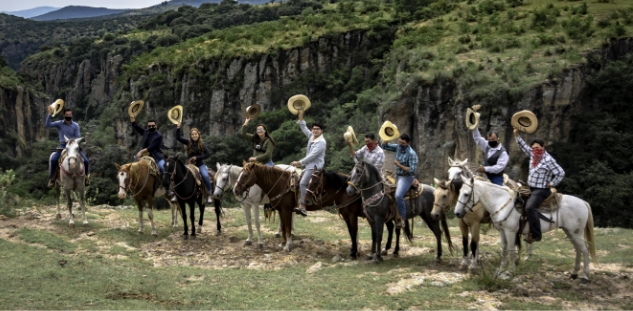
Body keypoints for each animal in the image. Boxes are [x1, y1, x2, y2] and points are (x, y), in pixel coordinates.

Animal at [452, 173, 596, 282]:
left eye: (466, 194)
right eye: (459, 192)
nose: (457, 213)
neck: (500, 201)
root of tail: (583, 202)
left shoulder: (510, 232)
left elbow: (511, 250)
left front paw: (510, 272)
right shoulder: (502, 231)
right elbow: (504, 250)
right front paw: (500, 270)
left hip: (576, 232)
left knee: (585, 249)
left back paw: (584, 276)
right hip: (569, 232)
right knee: (578, 249)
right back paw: (574, 273)